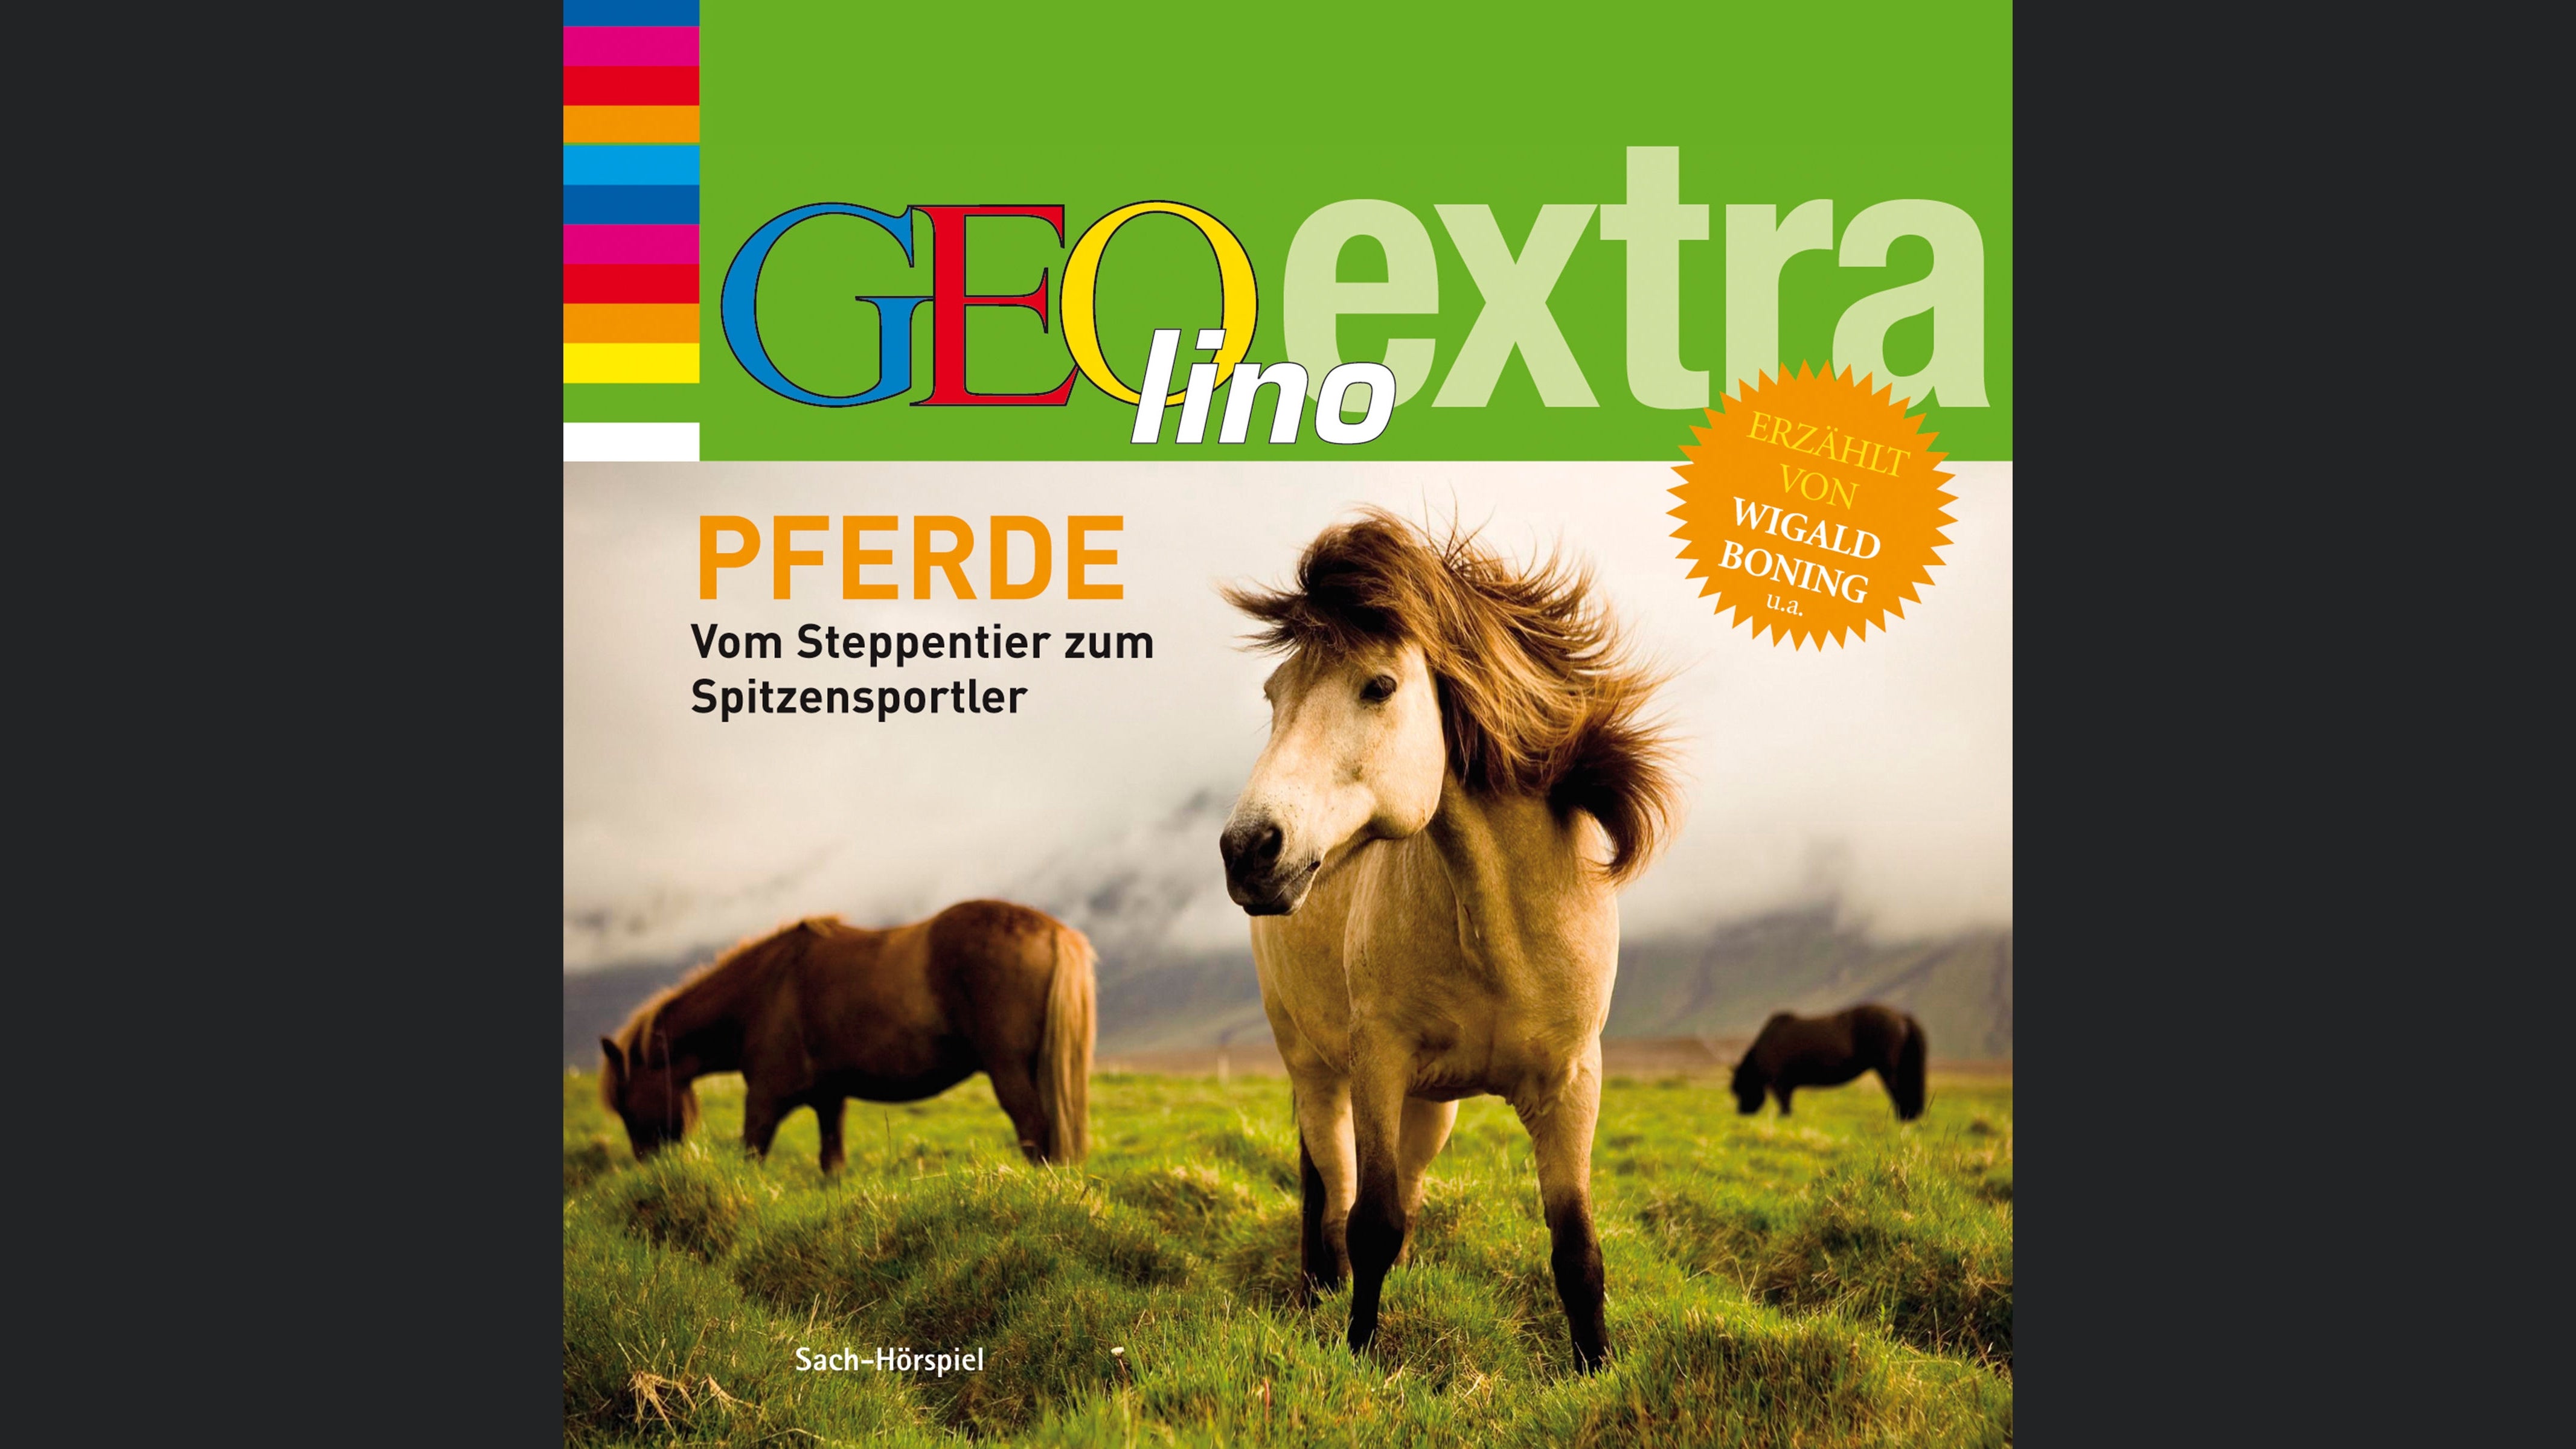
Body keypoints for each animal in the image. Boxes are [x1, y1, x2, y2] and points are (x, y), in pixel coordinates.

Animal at [598, 901, 1096, 1171]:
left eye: (627, 1106)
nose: (650, 1171)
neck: (763, 991)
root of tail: (1055, 931)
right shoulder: (830, 1098)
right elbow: (831, 1163)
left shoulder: (763, 1098)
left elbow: (751, 1155)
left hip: (1008, 1069)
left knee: (1033, 1129)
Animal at [1216, 509, 1678, 1373]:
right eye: (1273, 695)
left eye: (1380, 686)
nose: (1249, 850)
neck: (1502, 931)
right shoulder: (1377, 1063)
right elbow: (1370, 1223)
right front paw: (1360, 1353)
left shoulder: (1573, 1084)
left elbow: (1576, 1248)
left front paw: (1595, 1368)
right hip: (1316, 1070)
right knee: (1329, 1188)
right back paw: (1316, 1293)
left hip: (1431, 1109)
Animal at [1730, 1004, 1927, 1120]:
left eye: (1739, 1088)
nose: (1741, 1112)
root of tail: (1902, 1016)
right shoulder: (1786, 1086)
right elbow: (1788, 1106)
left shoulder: (1779, 1084)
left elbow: (1784, 1106)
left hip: (1888, 1070)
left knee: (1897, 1091)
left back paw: (1902, 1118)